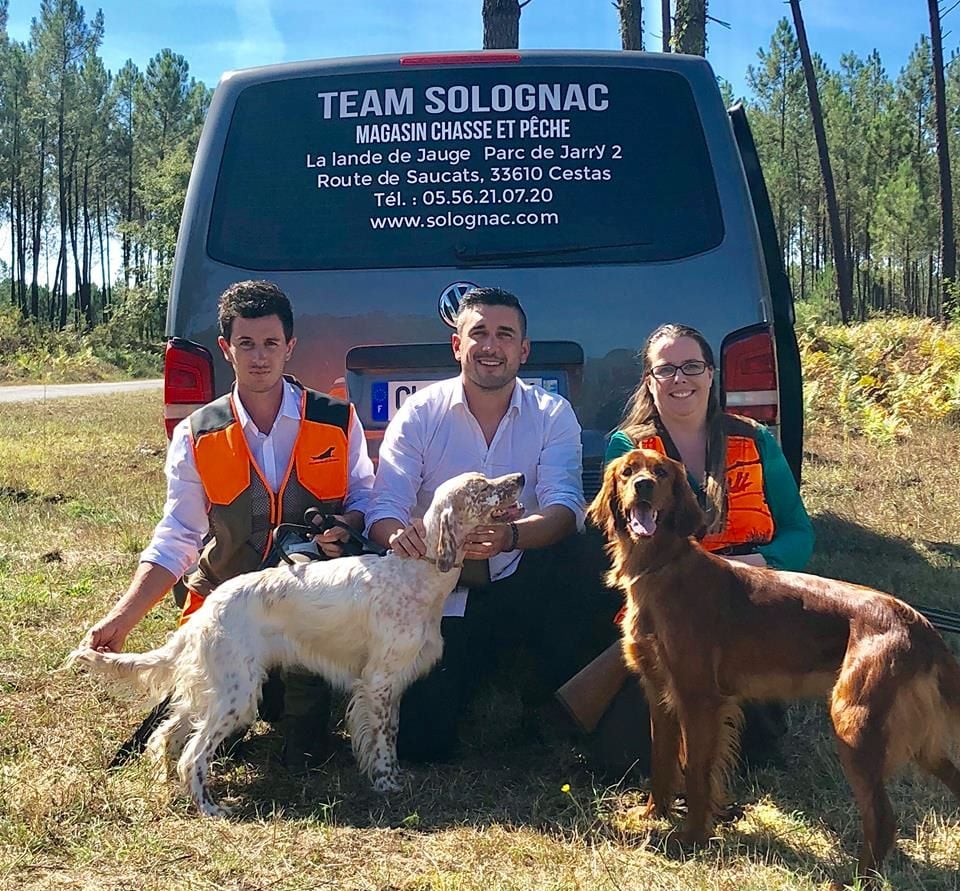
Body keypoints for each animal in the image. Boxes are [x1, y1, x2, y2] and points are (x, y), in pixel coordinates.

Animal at [70, 474, 520, 816]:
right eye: (481, 487)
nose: (518, 479)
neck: (419, 572)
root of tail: (209, 608)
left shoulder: (387, 686)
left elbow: (385, 736)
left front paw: (387, 778)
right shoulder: (379, 682)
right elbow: (384, 741)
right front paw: (387, 783)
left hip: (211, 689)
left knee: (167, 734)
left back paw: (167, 784)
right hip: (238, 695)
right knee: (194, 753)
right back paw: (211, 808)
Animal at [588, 450, 960, 880]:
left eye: (660, 472)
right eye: (627, 472)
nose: (644, 486)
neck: (660, 566)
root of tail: (918, 623)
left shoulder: (699, 698)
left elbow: (696, 772)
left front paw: (691, 839)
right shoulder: (658, 691)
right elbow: (661, 760)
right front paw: (653, 815)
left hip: (855, 722)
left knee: (882, 820)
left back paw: (850, 881)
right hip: (916, 738)